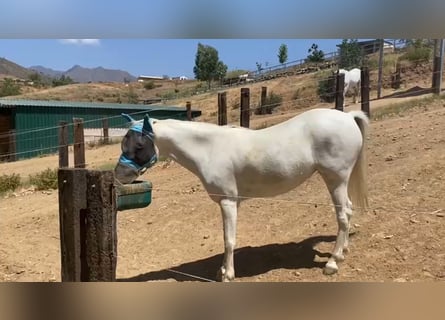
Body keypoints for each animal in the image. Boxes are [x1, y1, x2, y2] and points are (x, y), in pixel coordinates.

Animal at [113, 109, 368, 282]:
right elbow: (226, 237)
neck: (209, 148)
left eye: (139, 145)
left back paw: (333, 263)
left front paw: (228, 275)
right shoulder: (228, 203)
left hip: (336, 179)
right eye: (123, 143)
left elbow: (229, 240)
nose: (119, 176)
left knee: (343, 215)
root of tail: (348, 117)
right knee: (348, 212)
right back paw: (343, 252)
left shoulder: (228, 202)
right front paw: (222, 270)